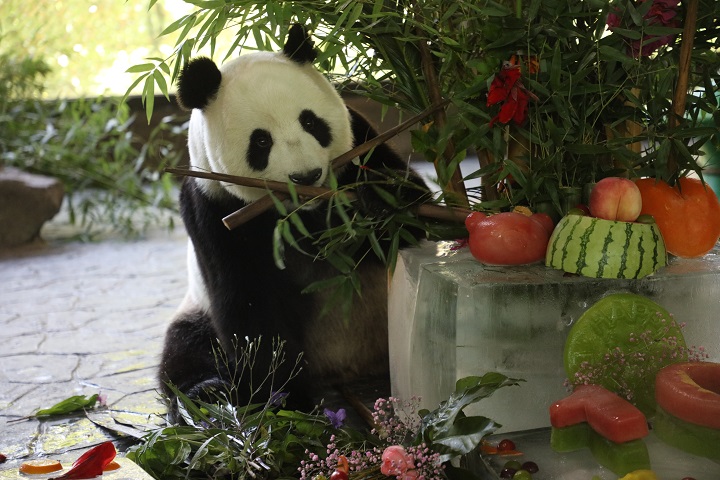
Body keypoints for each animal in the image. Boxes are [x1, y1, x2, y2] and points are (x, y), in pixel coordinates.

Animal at [161, 23, 430, 416]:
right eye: (260, 142)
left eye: (310, 121)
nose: (306, 176)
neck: (302, 212)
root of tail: (344, 367)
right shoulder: (213, 208)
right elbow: (249, 304)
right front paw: (281, 399)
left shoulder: (361, 141)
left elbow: (412, 218)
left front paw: (381, 200)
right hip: (196, 310)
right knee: (186, 349)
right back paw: (207, 395)